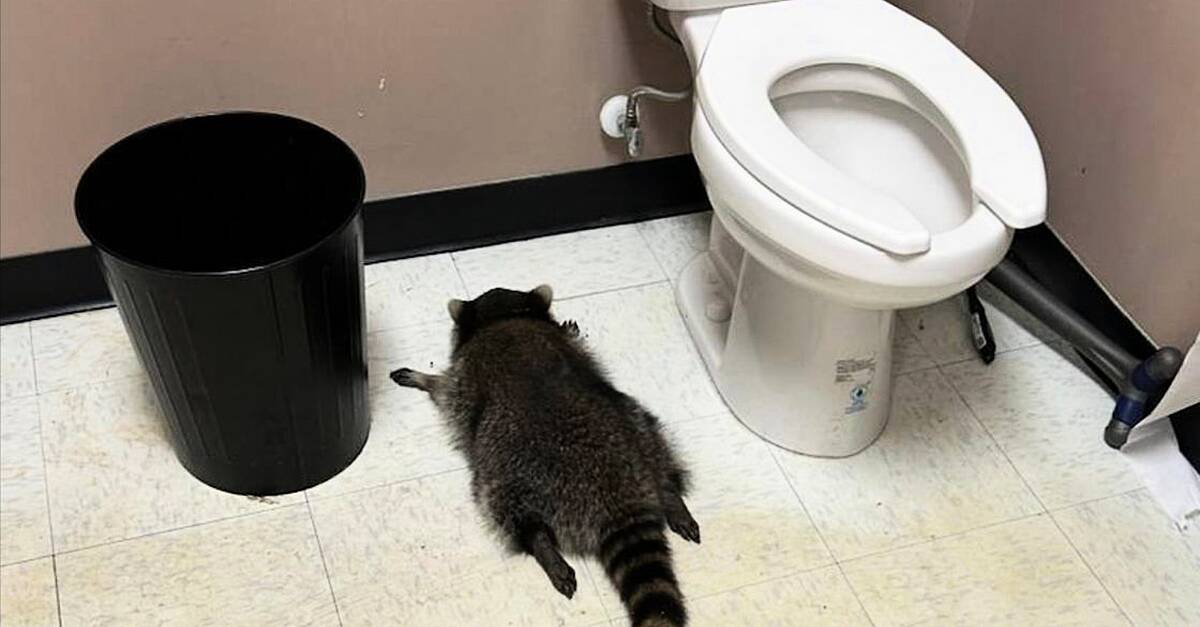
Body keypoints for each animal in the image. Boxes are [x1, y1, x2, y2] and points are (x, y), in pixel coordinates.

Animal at [390, 285, 699, 627]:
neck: (504, 317)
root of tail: (617, 498)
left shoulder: (464, 377)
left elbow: (445, 389)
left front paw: (425, 379)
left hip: (509, 472)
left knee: (505, 508)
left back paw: (542, 546)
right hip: (637, 425)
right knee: (657, 446)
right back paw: (670, 494)